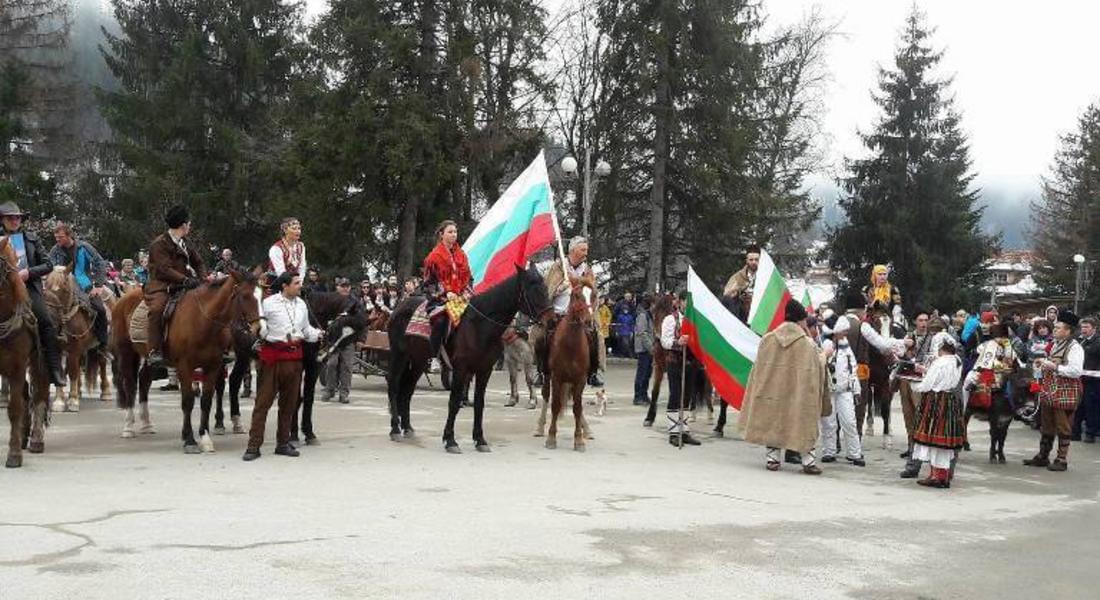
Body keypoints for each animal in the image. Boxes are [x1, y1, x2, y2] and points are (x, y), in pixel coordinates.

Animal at [42, 266, 96, 411]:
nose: (48, 316)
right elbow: (60, 371)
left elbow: (72, 372)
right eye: (45, 287)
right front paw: (59, 402)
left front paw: (72, 401)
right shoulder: (56, 348)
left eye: (63, 288)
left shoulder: (74, 349)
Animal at [110, 268, 260, 451]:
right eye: (245, 296)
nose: (258, 329)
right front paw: (189, 440)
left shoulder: (213, 365)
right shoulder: (184, 366)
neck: (202, 320)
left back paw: (147, 424)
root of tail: (121, 300)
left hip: (151, 359)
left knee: (144, 380)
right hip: (126, 353)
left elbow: (206, 400)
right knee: (130, 386)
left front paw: (205, 437)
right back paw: (128, 427)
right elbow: (188, 401)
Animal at [389, 264, 554, 451]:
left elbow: (479, 403)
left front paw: (480, 440)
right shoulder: (461, 369)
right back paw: (395, 429)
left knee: (407, 390)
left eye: (545, 288)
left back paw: (407, 427)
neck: (479, 325)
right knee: (394, 386)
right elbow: (454, 402)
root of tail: (400, 306)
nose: (552, 321)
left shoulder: (484, 369)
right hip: (399, 355)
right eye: (533, 289)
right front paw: (450, 440)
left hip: (418, 360)